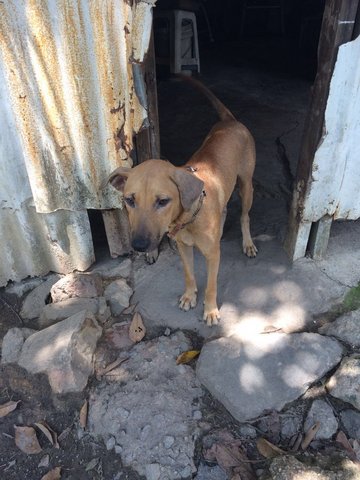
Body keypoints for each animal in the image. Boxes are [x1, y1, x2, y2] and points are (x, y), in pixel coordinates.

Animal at [107, 78, 256, 326]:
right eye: (130, 200)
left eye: (163, 201)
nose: (138, 245)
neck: (189, 218)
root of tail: (230, 121)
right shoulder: (183, 247)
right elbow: (188, 273)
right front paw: (189, 296)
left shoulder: (213, 255)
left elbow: (211, 285)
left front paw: (211, 310)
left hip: (246, 185)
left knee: (245, 216)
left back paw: (248, 243)